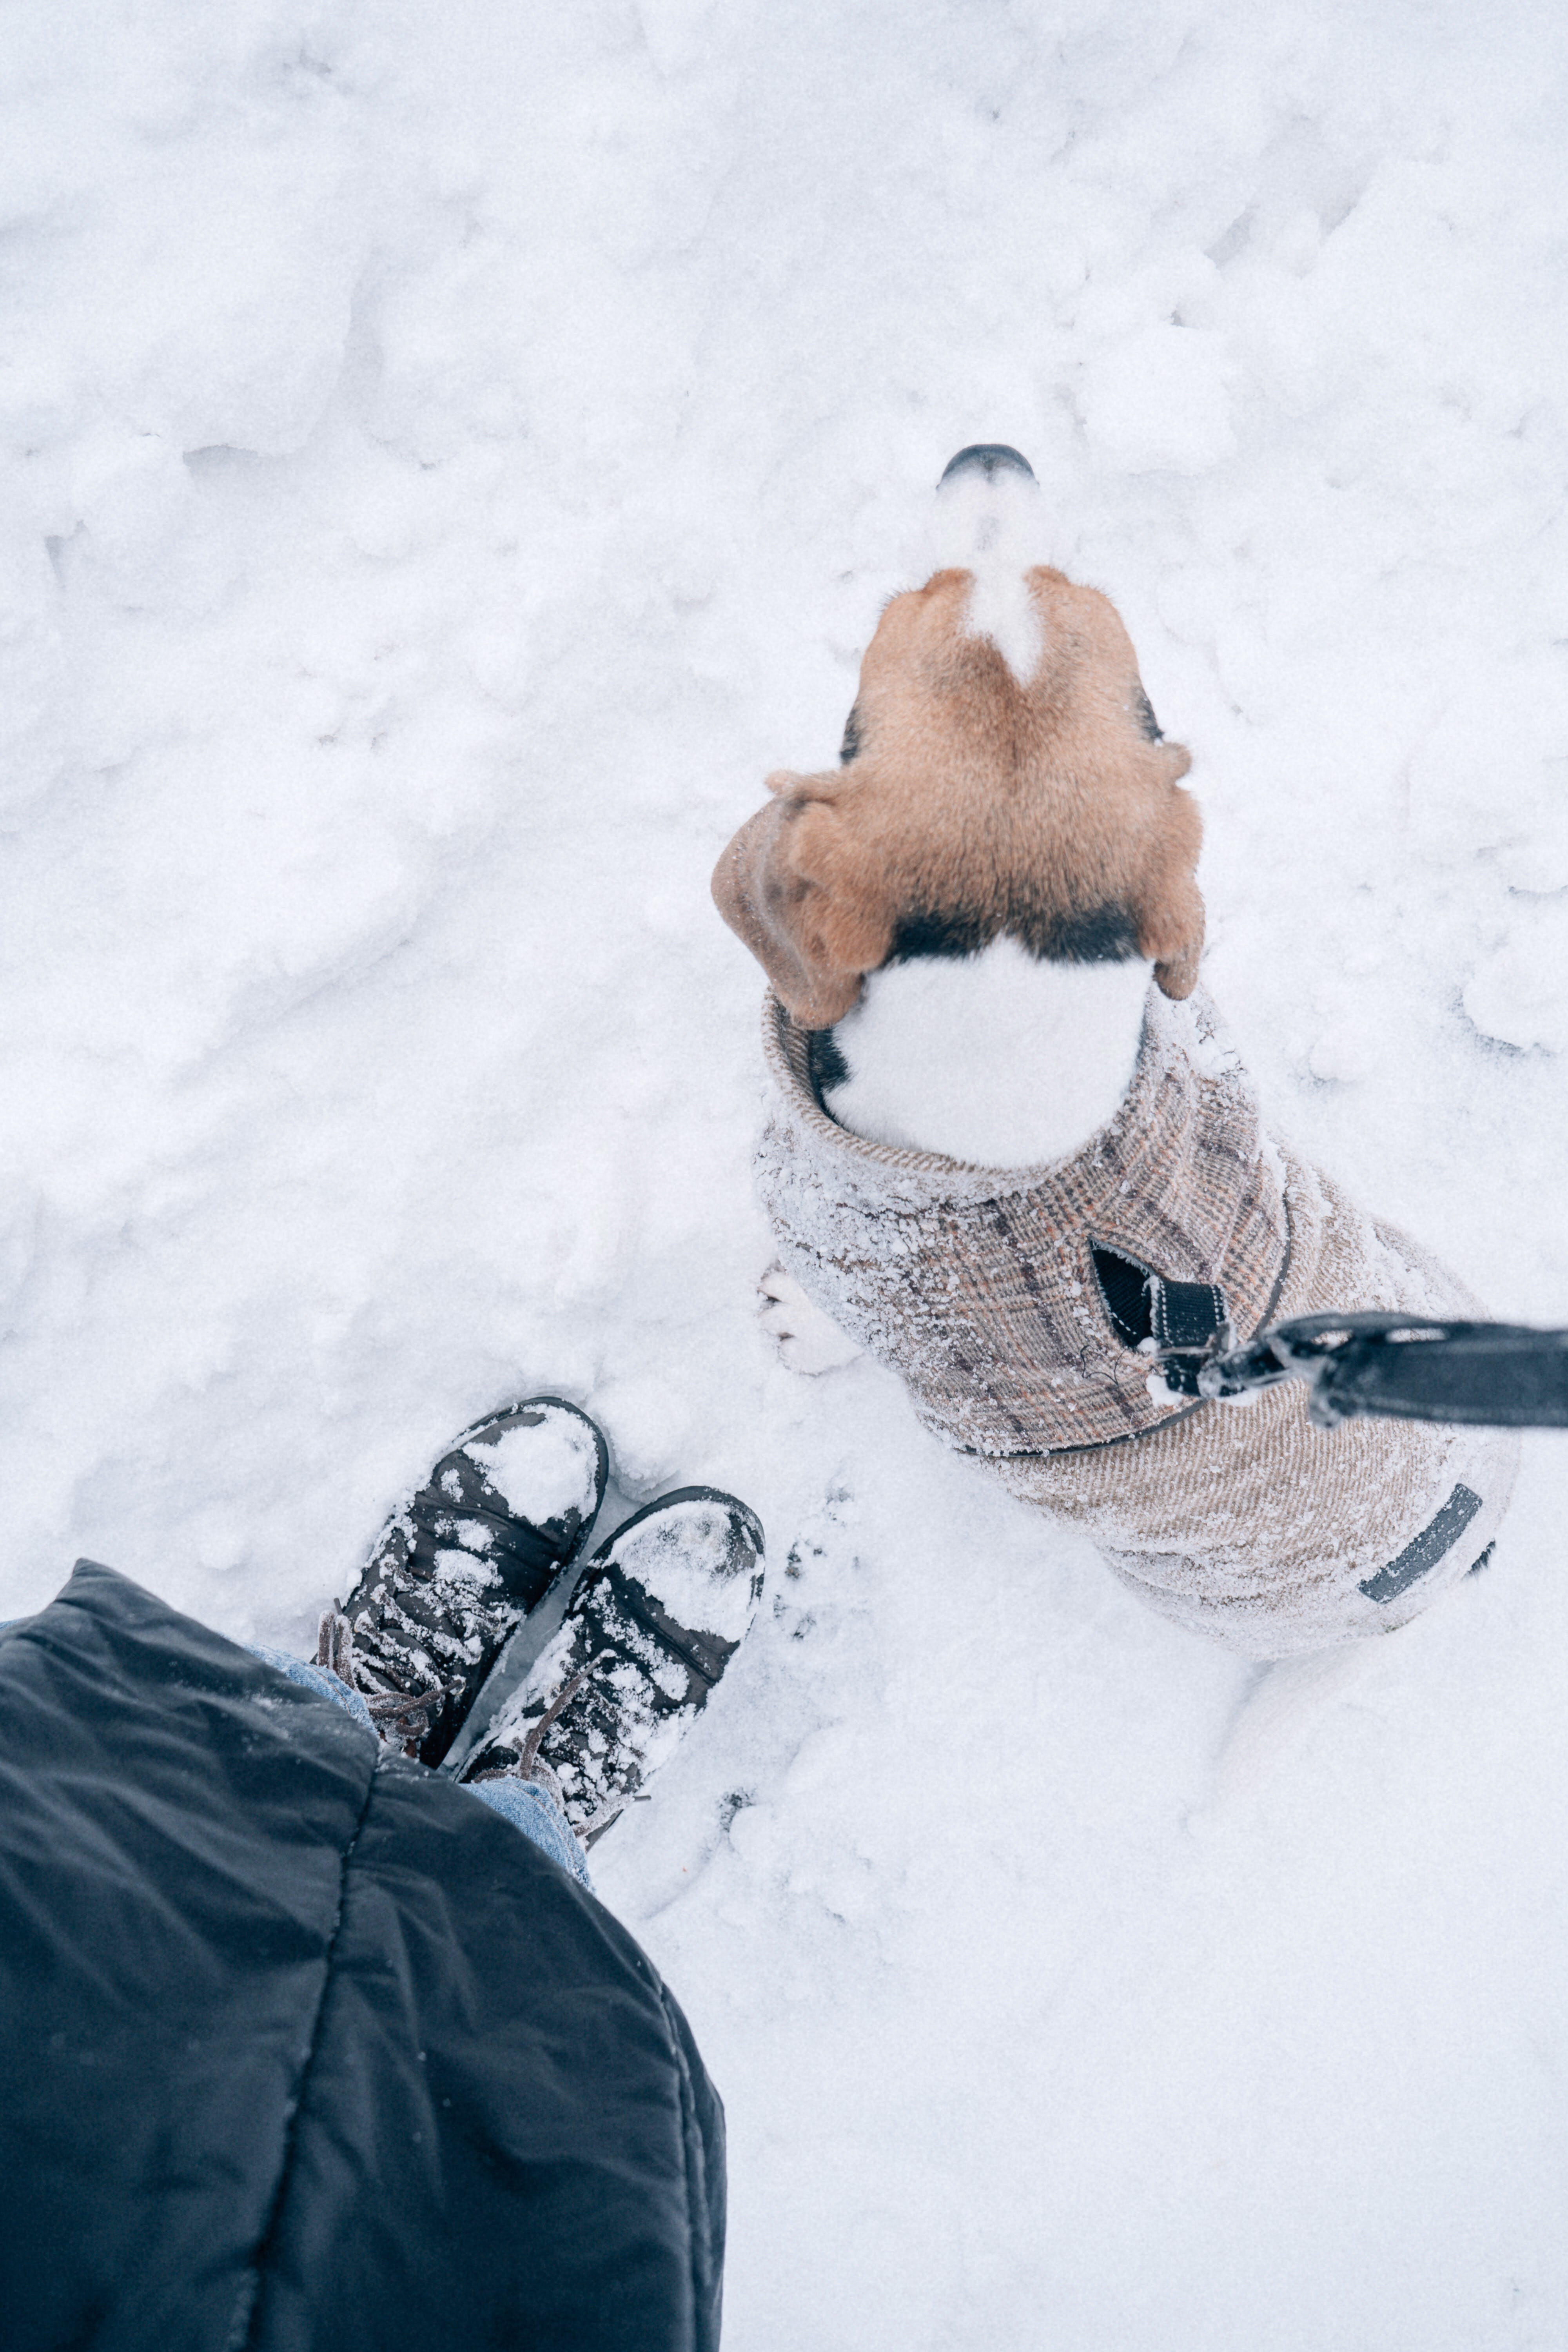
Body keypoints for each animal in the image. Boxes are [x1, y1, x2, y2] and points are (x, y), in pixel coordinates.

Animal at [715, 442, 1523, 1656]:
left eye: (907, 608)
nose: (992, 454)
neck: (1015, 1013)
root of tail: (1462, 1561)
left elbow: (826, 1319)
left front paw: (796, 1329)